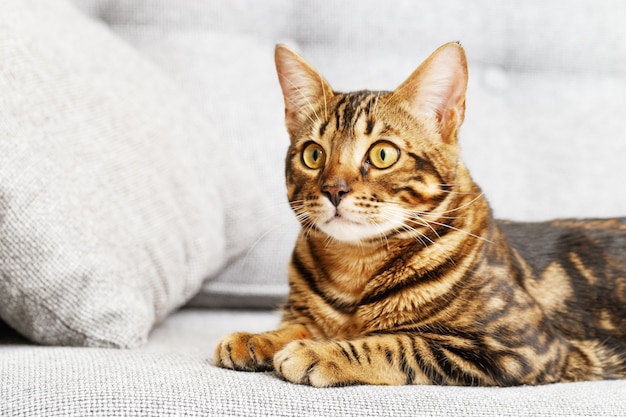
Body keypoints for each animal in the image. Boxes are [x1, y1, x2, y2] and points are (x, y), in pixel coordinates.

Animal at [214, 42, 624, 386]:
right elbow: (301, 324)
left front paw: (320, 352)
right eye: (313, 155)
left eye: (383, 154)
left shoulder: (520, 347)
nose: (333, 190)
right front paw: (258, 338)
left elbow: (396, 343)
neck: (353, 268)